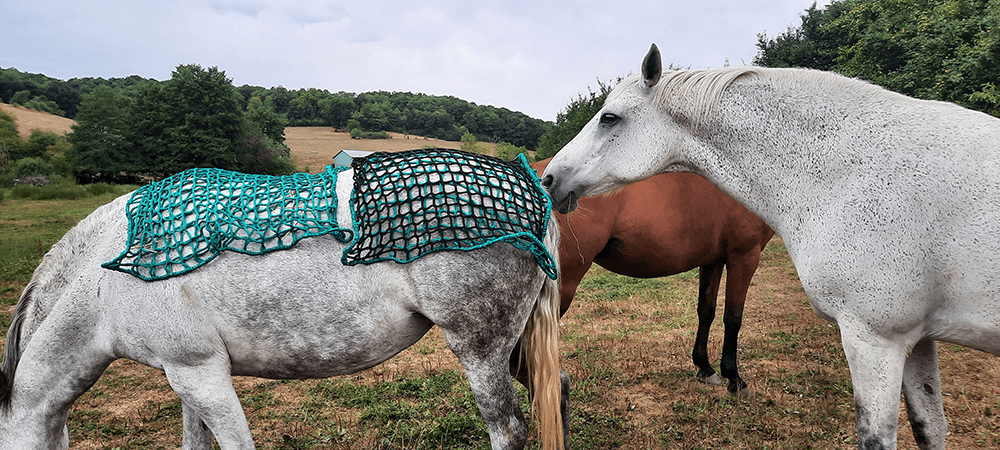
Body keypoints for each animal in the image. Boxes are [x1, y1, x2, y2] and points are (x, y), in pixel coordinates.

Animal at [532, 157, 772, 394]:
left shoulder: (713, 260)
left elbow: (706, 311)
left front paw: (704, 367)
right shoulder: (744, 257)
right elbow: (733, 318)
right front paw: (734, 378)